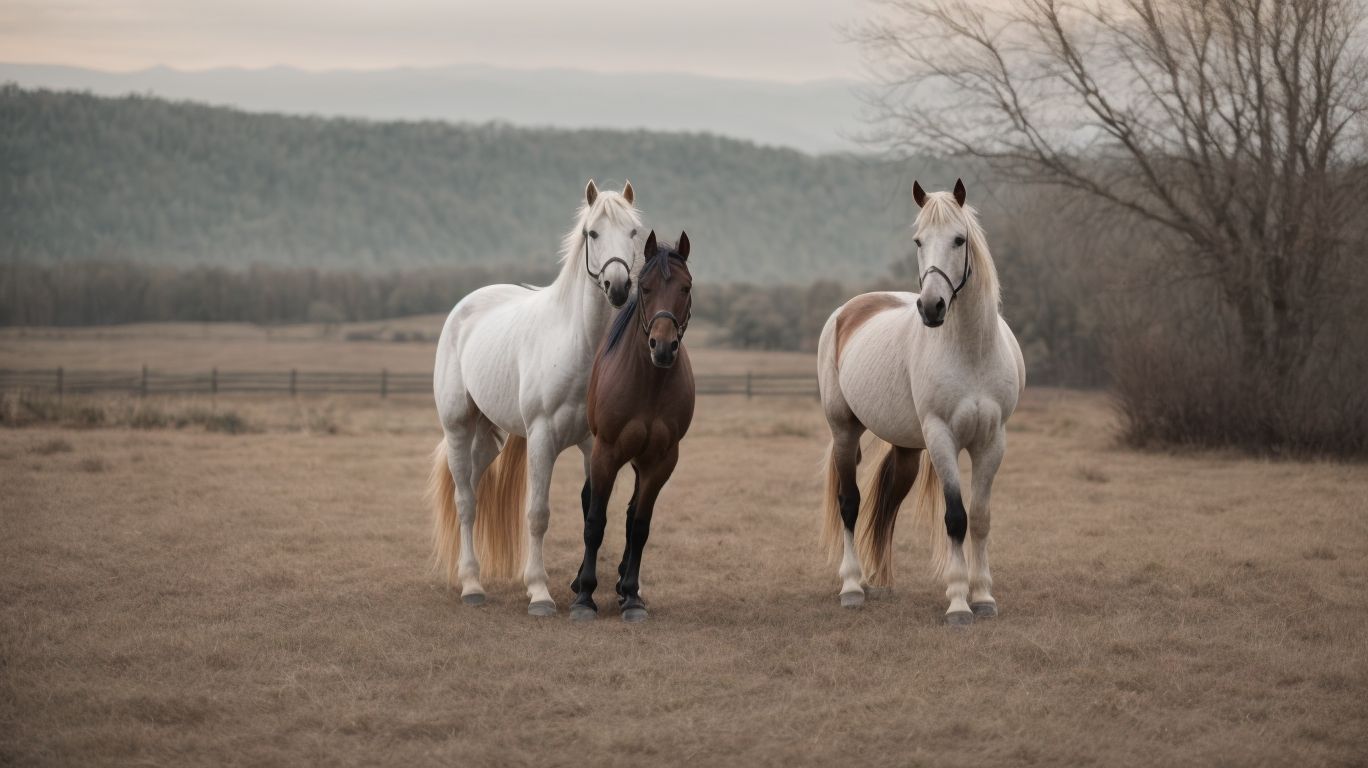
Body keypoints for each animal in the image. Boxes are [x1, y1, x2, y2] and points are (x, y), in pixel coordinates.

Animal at [427, 179, 642, 616]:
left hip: (488, 437)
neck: (577, 346)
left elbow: (592, 511)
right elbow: (538, 514)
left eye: (633, 232)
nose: (618, 287)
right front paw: (540, 592)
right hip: (458, 427)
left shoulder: (594, 445)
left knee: (473, 489)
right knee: (464, 500)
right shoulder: (542, 440)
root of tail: (463, 308)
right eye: (592, 233)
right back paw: (471, 584)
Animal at [571, 230, 695, 622]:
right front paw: (585, 597)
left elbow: (639, 526)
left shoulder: (661, 460)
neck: (648, 384)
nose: (663, 347)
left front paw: (631, 595)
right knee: (589, 503)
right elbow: (595, 521)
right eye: (645, 286)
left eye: (686, 287)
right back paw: (579, 583)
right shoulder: (605, 453)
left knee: (629, 516)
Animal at [817, 179, 1025, 625]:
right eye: (918, 241)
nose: (931, 307)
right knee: (850, 503)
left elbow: (980, 519)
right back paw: (852, 586)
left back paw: (878, 581)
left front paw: (984, 597)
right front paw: (959, 603)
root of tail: (847, 311)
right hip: (844, 431)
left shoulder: (992, 442)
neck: (971, 351)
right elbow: (956, 518)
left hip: (906, 448)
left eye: (959, 239)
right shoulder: (942, 438)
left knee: (887, 504)